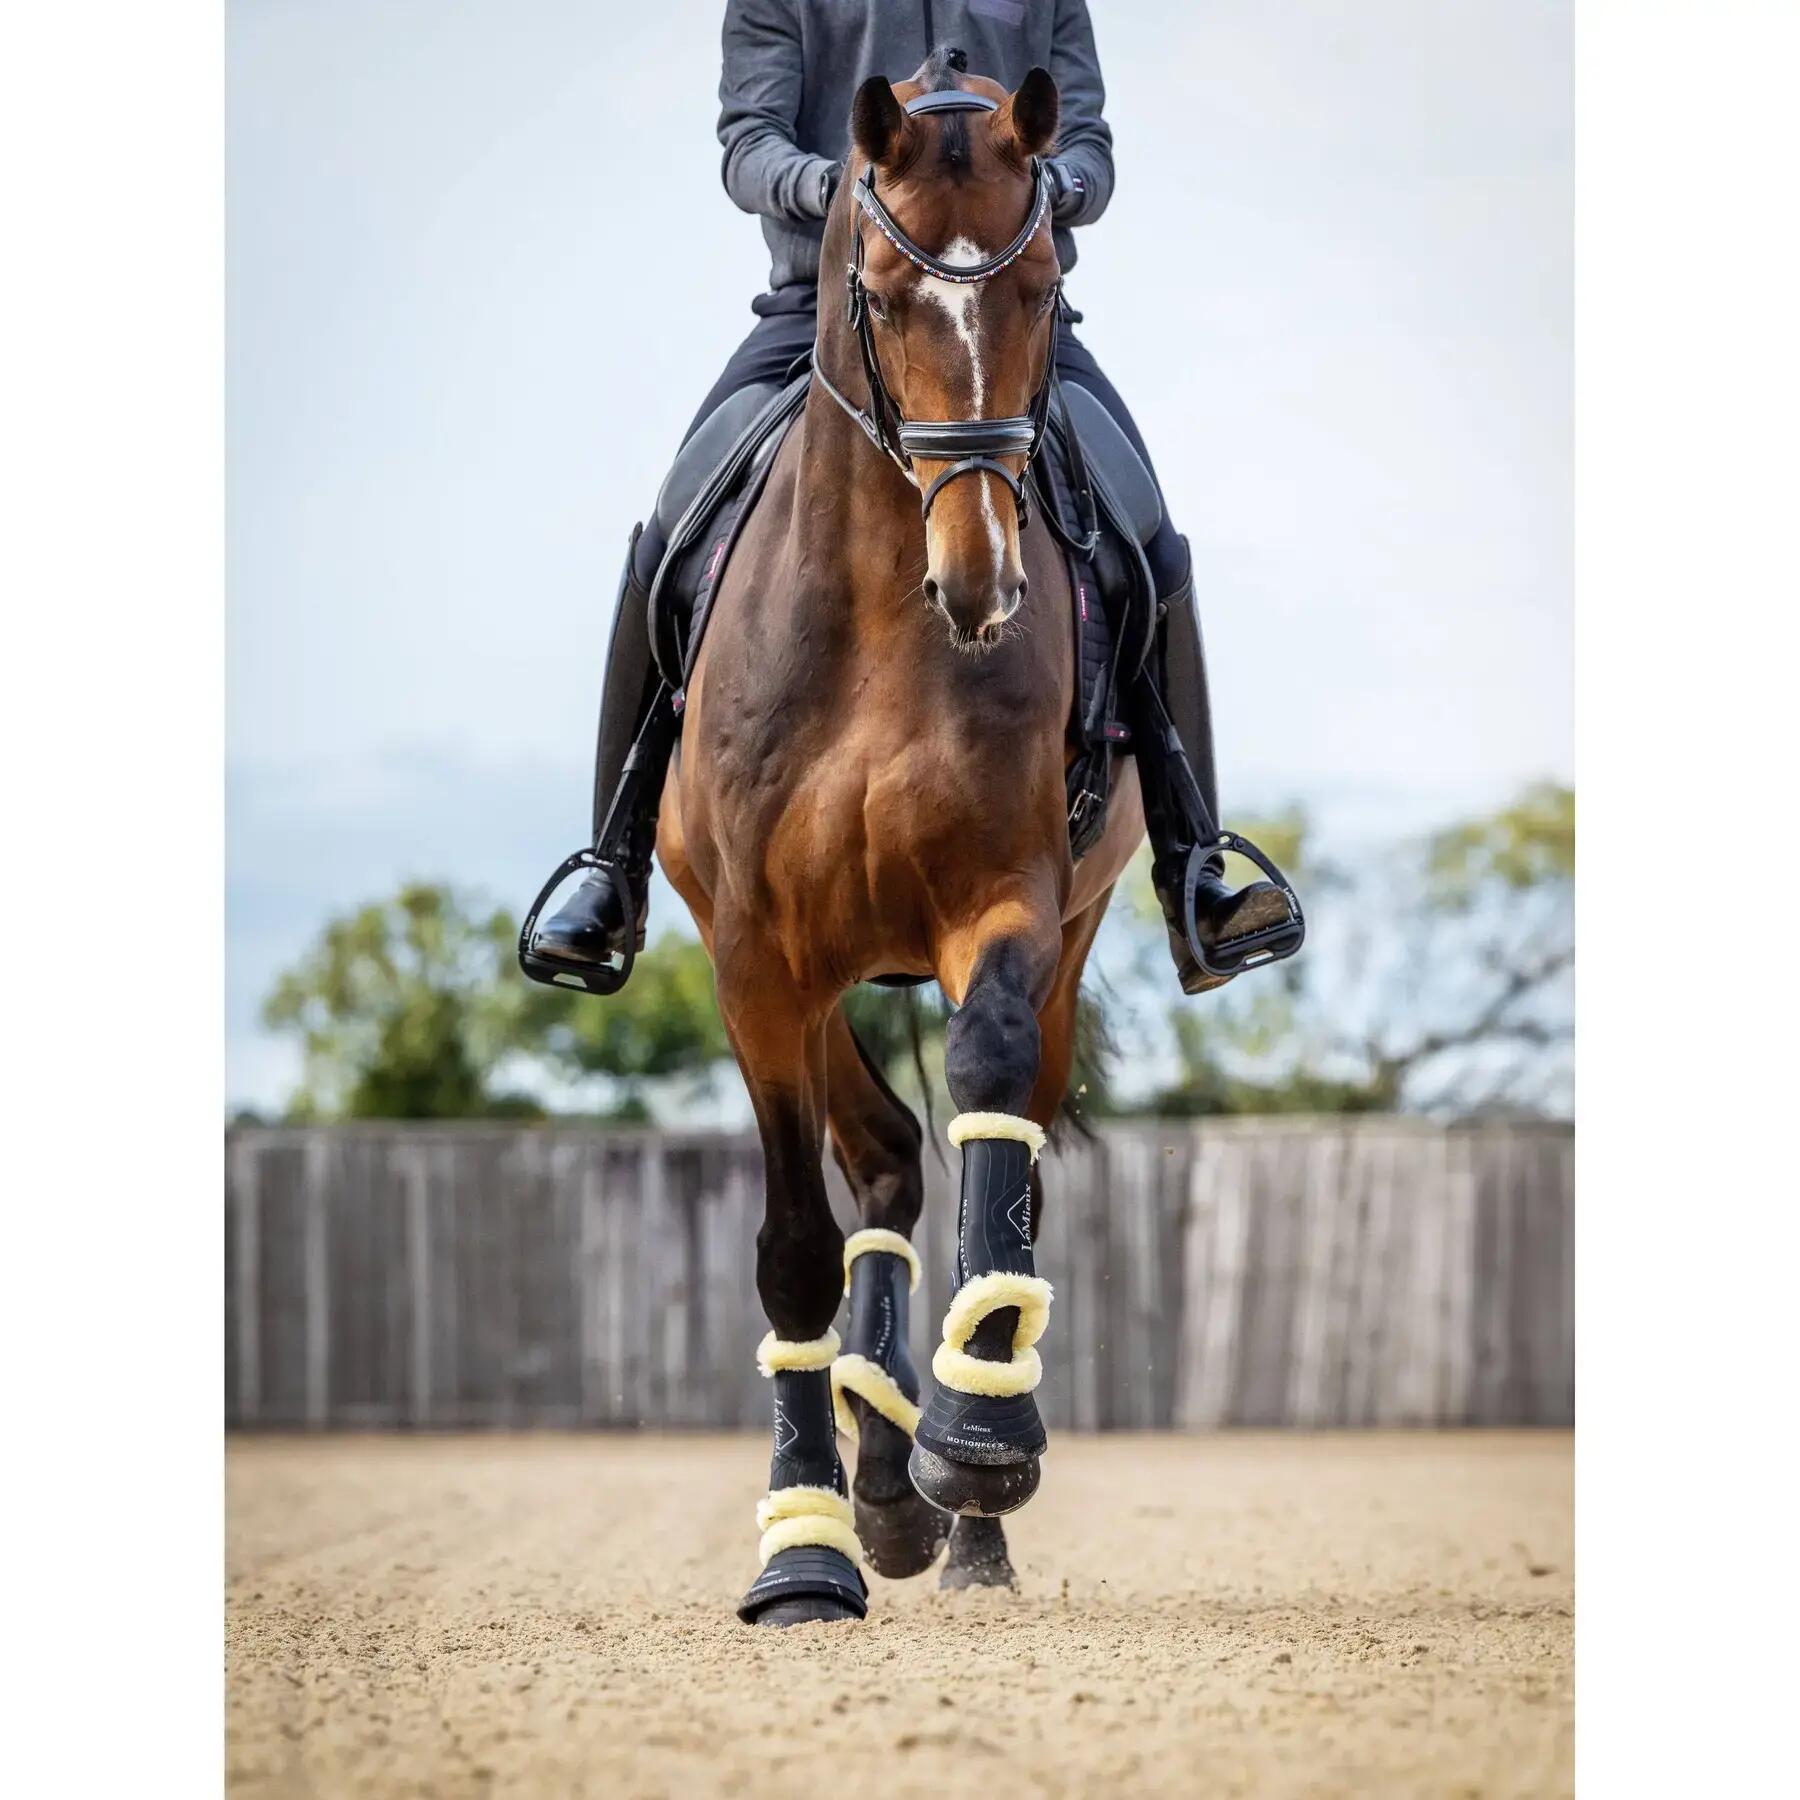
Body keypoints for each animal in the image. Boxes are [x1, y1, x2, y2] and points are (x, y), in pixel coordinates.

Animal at [657, 59, 1147, 1626]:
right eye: (877, 291)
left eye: (1046, 283)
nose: (981, 582)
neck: (881, 614)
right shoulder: (757, 957)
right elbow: (793, 1248)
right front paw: (804, 1551)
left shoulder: (1006, 904)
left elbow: (988, 1088)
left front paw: (978, 1448)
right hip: (800, 974)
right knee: (874, 1157)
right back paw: (868, 1490)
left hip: (1066, 937)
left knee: (990, 1143)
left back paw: (956, 1510)